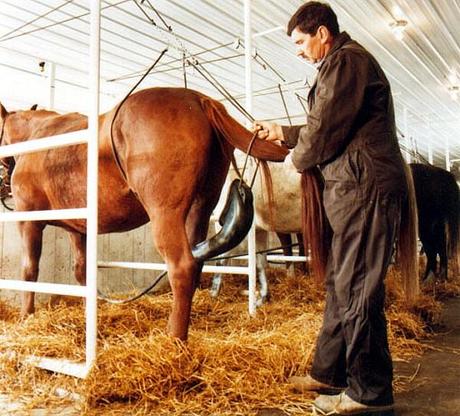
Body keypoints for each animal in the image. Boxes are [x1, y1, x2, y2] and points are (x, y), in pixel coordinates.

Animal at [0, 88, 288, 338]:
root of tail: (199, 99)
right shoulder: (78, 229)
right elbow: (82, 271)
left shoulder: (29, 221)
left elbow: (29, 270)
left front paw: (26, 315)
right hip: (200, 210)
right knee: (195, 263)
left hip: (165, 216)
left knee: (182, 267)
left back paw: (174, 338)